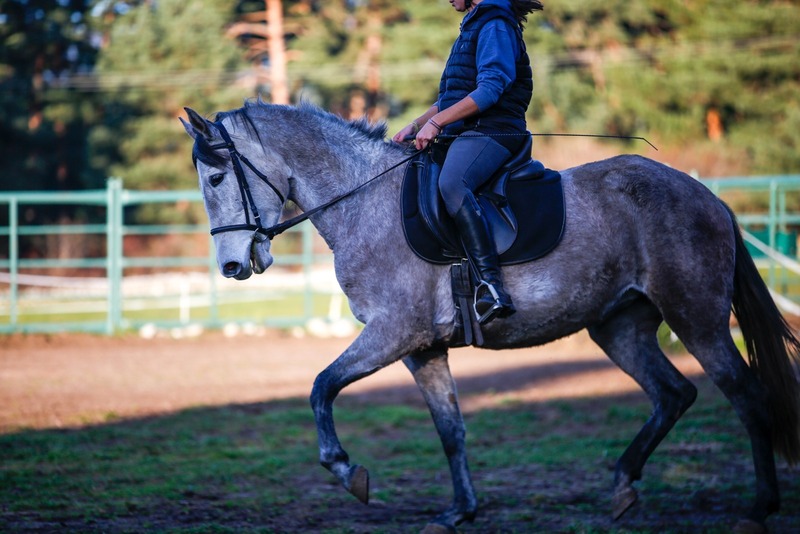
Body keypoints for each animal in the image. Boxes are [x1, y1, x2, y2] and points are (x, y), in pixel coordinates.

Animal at [181, 100, 800, 533]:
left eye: (216, 179)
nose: (233, 266)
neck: (364, 201)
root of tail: (708, 196)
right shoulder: (421, 348)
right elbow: (450, 429)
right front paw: (459, 512)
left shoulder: (392, 332)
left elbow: (320, 386)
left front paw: (345, 469)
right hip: (619, 325)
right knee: (673, 393)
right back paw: (624, 486)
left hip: (696, 317)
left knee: (745, 396)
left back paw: (757, 509)